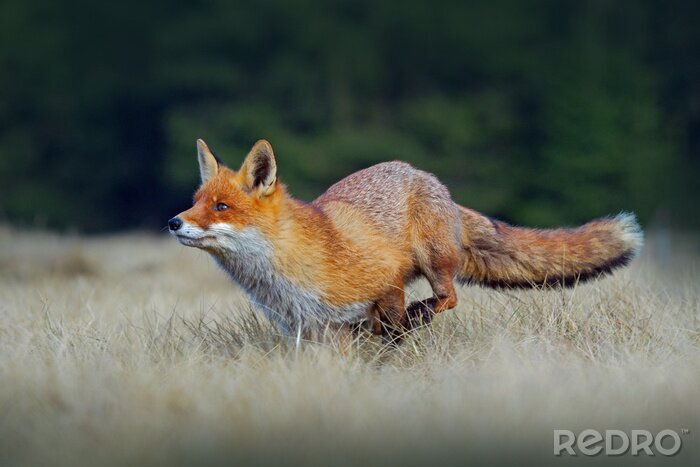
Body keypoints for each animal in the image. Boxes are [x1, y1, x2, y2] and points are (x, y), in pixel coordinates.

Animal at [169, 139, 643, 343]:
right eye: (196, 203)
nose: (173, 222)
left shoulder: (387, 278)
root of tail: (428, 178)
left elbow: (392, 327)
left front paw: (399, 346)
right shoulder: (308, 332)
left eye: (221, 207)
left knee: (447, 298)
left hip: (432, 261)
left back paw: (421, 315)